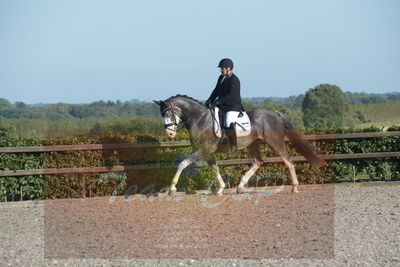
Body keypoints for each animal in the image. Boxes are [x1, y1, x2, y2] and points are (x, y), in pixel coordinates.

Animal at [153, 95, 324, 196]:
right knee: (258, 162)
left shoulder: (203, 150)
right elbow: (215, 168)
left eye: (168, 113)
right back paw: (240, 187)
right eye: (162, 114)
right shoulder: (208, 153)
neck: (200, 119)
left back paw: (295, 187)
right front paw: (220, 189)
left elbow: (181, 164)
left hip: (275, 142)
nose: (170, 134)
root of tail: (276, 113)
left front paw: (172, 189)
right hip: (252, 145)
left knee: (288, 160)